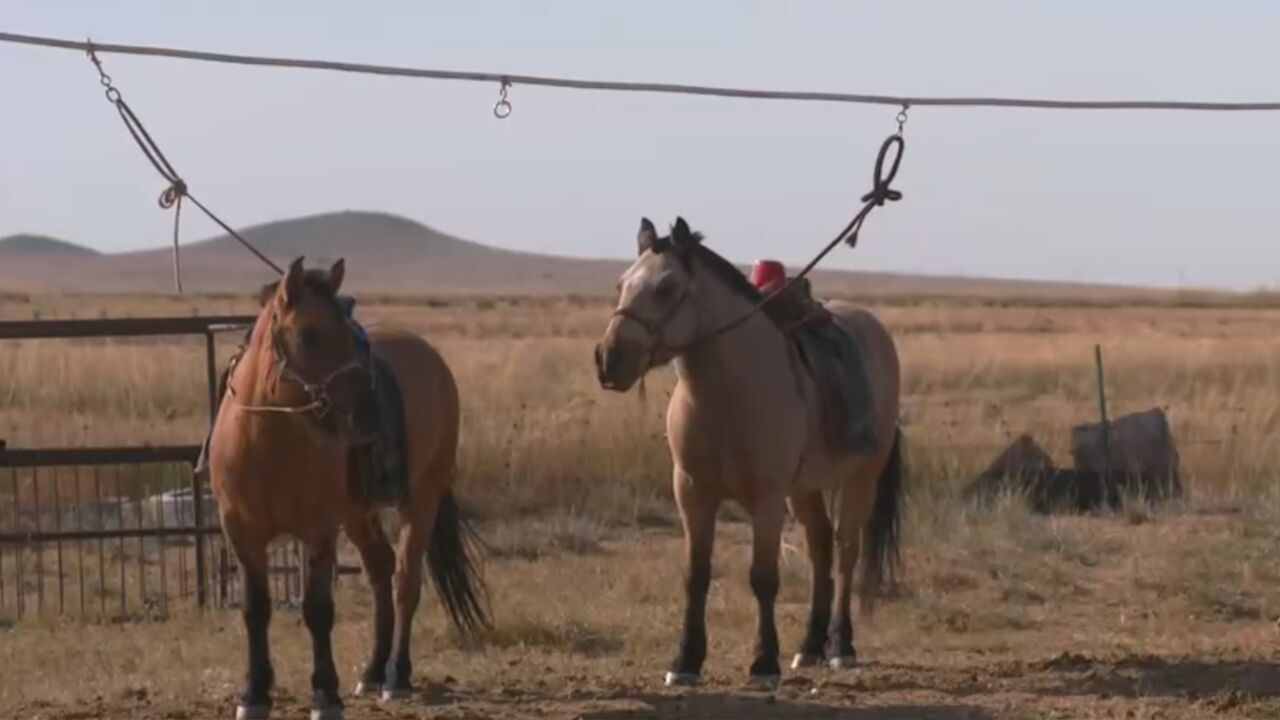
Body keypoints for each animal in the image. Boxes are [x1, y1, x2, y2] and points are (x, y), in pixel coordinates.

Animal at [209, 257, 488, 717]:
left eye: (351, 336)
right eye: (309, 334)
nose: (369, 417)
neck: (266, 442)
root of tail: (431, 358)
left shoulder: (319, 530)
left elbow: (318, 609)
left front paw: (325, 694)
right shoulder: (241, 531)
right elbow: (256, 609)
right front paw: (255, 694)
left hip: (422, 499)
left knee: (404, 580)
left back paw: (397, 675)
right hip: (359, 514)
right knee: (379, 568)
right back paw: (373, 670)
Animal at [593, 217, 906, 681]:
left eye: (666, 287)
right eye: (621, 284)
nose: (608, 359)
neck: (727, 392)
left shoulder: (766, 497)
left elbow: (763, 577)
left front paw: (763, 662)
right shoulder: (692, 492)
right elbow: (696, 574)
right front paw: (685, 660)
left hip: (859, 480)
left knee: (846, 552)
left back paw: (840, 645)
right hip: (805, 488)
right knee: (820, 549)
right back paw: (809, 646)